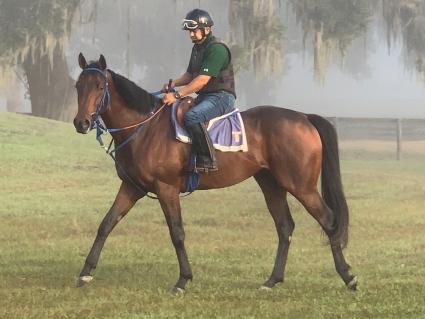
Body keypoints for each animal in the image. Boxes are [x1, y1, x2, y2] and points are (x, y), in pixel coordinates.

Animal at [73, 53, 358, 296]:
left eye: (99, 86)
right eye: (78, 86)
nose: (81, 123)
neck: (145, 128)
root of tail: (304, 117)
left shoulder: (166, 189)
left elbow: (177, 233)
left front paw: (183, 280)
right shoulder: (132, 187)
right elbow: (106, 224)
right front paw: (85, 273)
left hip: (301, 187)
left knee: (329, 221)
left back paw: (348, 277)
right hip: (272, 185)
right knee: (285, 226)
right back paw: (272, 280)